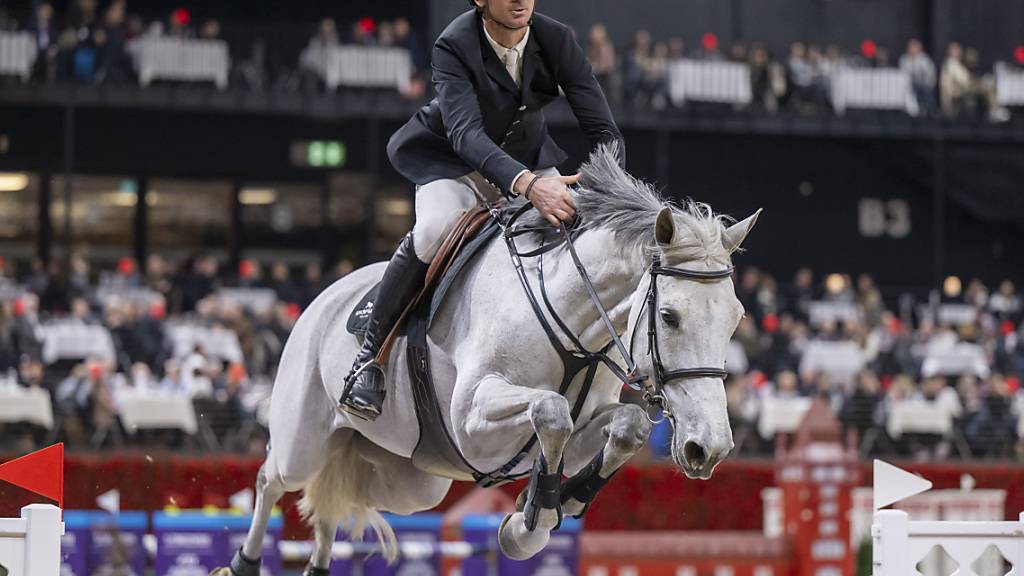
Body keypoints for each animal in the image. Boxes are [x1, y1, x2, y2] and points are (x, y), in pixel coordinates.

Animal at [214, 144, 761, 573]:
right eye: (669, 316)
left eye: (735, 318)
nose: (708, 448)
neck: (573, 321)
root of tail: (322, 298)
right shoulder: (472, 422)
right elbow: (550, 410)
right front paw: (531, 521)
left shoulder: (586, 426)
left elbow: (628, 426)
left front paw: (555, 503)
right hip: (303, 441)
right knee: (272, 479)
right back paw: (240, 564)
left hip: (414, 481)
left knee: (341, 498)